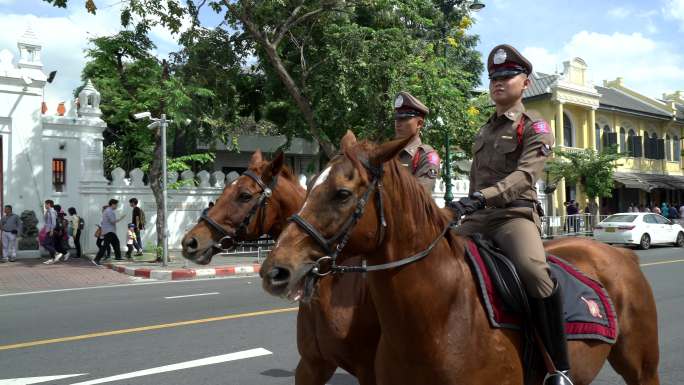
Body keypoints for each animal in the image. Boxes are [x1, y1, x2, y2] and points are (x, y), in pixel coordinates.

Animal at [260, 132, 656, 384]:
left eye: (342, 193)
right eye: (309, 187)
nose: (274, 270)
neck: (438, 316)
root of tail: (620, 254)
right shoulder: (315, 366)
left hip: (642, 370)